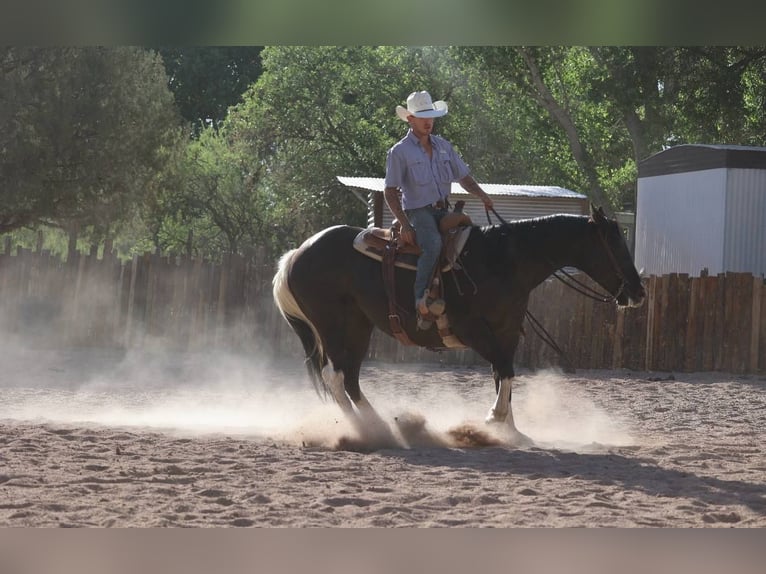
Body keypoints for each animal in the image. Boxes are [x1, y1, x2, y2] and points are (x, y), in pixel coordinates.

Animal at [272, 204, 645, 445]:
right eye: (615, 245)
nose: (639, 291)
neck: (502, 260)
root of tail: (296, 254)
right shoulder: (473, 330)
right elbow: (504, 371)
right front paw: (494, 419)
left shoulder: (507, 331)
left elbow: (503, 374)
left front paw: (510, 432)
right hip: (332, 325)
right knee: (334, 376)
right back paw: (370, 431)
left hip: (359, 326)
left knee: (350, 378)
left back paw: (379, 424)